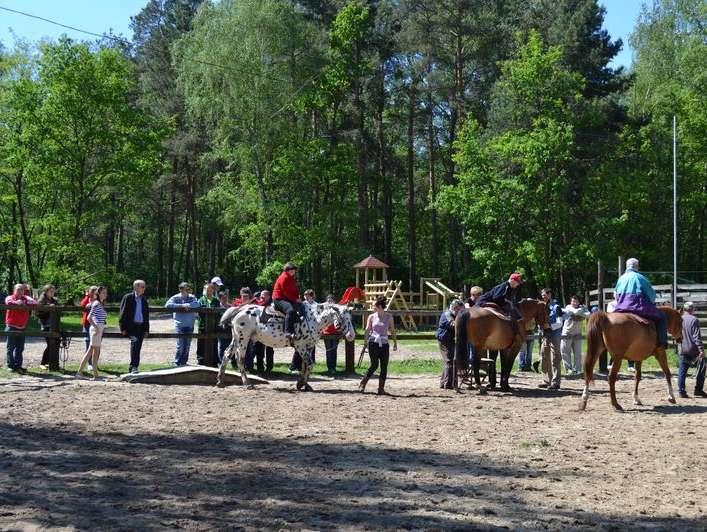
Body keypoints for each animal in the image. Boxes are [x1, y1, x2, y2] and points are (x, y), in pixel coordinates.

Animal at [217, 304, 354, 390]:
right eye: (343, 318)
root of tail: (240, 309)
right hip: (243, 339)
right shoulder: (300, 346)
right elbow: (309, 365)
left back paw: (220, 381)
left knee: (226, 354)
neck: (314, 319)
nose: (352, 335)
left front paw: (304, 384)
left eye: (351, 318)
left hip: (236, 339)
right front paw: (301, 384)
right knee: (240, 360)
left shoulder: (308, 346)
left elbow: (305, 365)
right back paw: (247, 384)